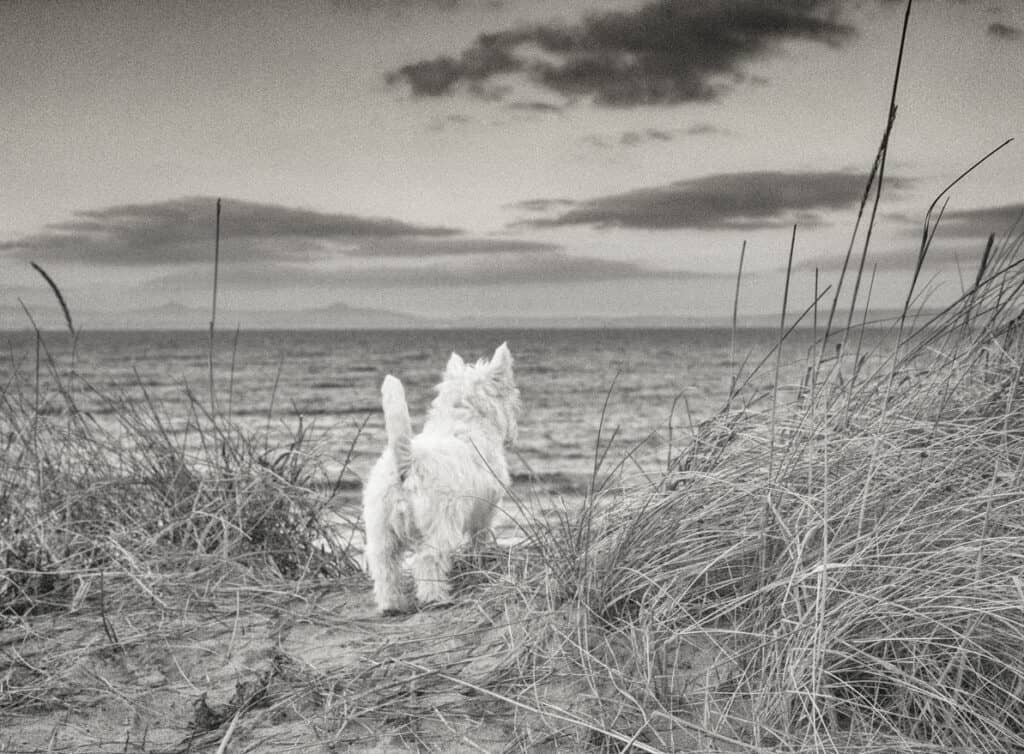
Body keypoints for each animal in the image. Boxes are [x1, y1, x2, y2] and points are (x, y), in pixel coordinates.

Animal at [362, 344, 520, 614]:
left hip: (380, 527)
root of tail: (407, 464)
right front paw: (482, 560)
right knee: (428, 560)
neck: (464, 420)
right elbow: (480, 538)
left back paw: (391, 605)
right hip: (440, 523)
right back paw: (436, 598)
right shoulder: (486, 509)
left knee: (384, 565)